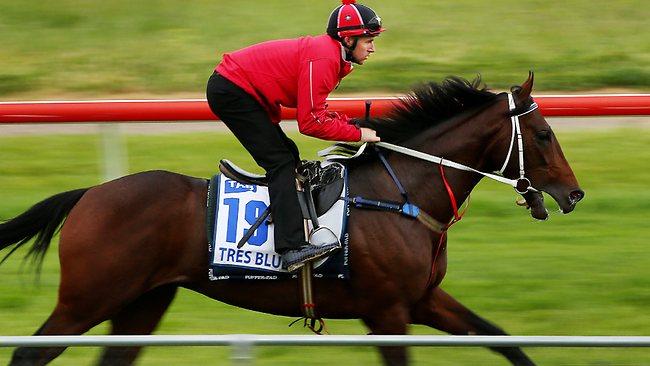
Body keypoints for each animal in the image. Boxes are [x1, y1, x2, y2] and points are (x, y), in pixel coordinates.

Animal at [0, 73, 584, 364]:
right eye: (544, 135)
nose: (574, 194)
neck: (402, 195)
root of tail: (90, 195)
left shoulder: (421, 300)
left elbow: (500, 338)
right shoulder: (387, 313)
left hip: (142, 303)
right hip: (85, 301)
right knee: (28, 355)